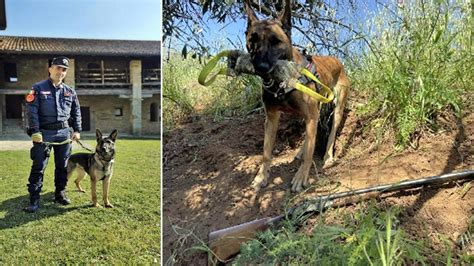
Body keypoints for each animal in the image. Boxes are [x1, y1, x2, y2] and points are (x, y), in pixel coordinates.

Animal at [244, 0, 352, 191]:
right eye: (252, 40)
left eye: (275, 41)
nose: (261, 67)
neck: (281, 83)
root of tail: (337, 60)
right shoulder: (271, 118)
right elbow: (266, 153)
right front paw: (261, 176)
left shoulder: (310, 115)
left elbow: (310, 151)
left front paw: (301, 176)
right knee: (311, 135)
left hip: (337, 107)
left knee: (330, 132)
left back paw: (328, 157)